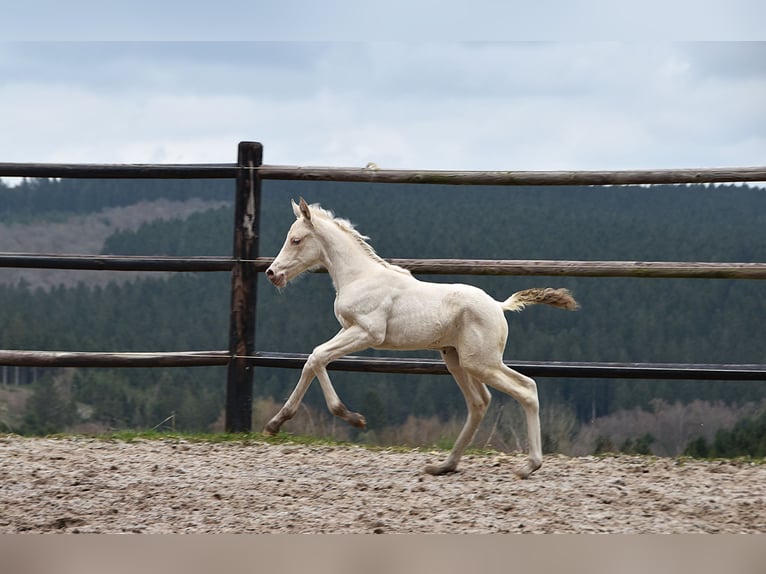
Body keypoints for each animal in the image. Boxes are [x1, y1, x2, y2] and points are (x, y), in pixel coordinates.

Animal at [264, 198, 578, 477]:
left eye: (296, 240)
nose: (272, 273)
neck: (360, 276)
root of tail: (499, 306)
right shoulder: (347, 329)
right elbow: (313, 360)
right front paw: (276, 423)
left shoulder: (367, 333)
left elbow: (318, 356)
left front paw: (352, 418)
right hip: (457, 359)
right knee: (479, 402)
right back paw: (445, 465)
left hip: (482, 362)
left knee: (526, 389)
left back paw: (529, 466)